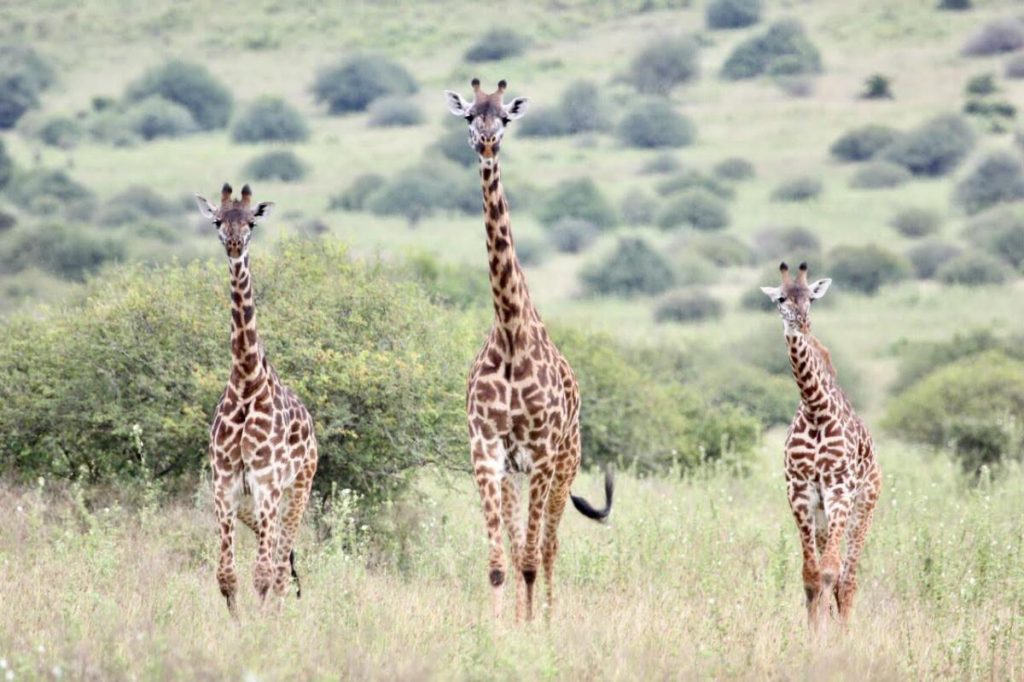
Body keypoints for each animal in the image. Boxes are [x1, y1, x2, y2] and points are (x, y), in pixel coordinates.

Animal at [194, 183, 319, 617]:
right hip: (256, 501)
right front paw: (237, 625)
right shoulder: (225, 485)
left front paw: (260, 628)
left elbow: (262, 574)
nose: (234, 244)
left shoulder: (267, 482)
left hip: (298, 486)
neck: (247, 382)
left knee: (279, 567)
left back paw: (276, 617)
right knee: (282, 559)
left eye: (251, 222)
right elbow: (226, 576)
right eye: (218, 220)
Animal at [444, 79, 614, 623]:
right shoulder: (487, 448)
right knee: (524, 544)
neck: (511, 333)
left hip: (564, 463)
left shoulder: (540, 452)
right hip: (516, 473)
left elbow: (532, 559)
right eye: (469, 115)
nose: (486, 141)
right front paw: (499, 629)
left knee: (550, 545)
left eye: (505, 117)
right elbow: (502, 561)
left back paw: (550, 616)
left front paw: (533, 628)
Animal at [760, 262, 882, 631]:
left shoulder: (839, 489)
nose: (801, 321)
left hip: (862, 508)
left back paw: (844, 632)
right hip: (823, 517)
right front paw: (813, 632)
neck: (815, 408)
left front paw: (828, 638)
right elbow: (811, 575)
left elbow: (830, 572)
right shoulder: (800, 492)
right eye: (781, 298)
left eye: (811, 298)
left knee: (848, 577)